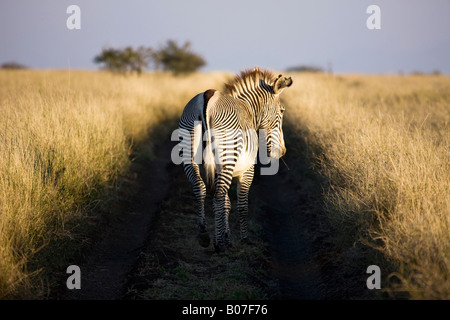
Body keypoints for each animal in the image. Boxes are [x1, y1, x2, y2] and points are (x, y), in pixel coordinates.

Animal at [178, 67, 294, 252]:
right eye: (282, 111)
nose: (282, 151)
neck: (249, 110)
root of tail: (207, 99)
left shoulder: (217, 170)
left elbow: (226, 204)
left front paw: (227, 237)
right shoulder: (247, 170)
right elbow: (241, 205)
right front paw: (242, 238)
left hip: (189, 152)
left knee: (200, 187)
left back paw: (204, 235)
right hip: (227, 156)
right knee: (218, 195)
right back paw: (219, 246)